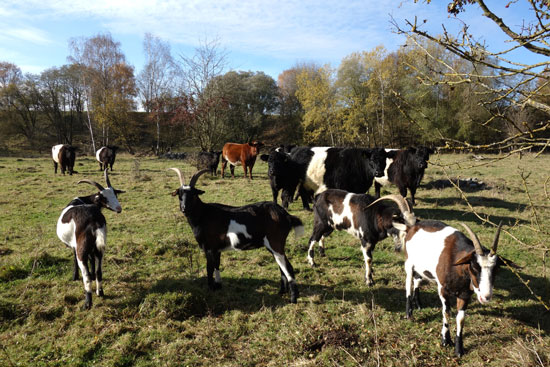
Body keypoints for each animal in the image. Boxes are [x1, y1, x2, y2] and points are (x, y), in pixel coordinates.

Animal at [56, 170, 125, 310]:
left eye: (115, 194)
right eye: (105, 197)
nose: (119, 208)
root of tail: (94, 220)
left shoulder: (75, 246)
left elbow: (75, 259)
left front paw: (74, 277)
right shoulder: (94, 247)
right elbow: (92, 261)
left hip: (82, 249)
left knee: (86, 275)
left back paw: (87, 303)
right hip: (100, 248)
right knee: (99, 271)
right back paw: (100, 292)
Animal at [169, 168, 304, 304]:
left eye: (193, 194)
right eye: (180, 195)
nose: (184, 208)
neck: (204, 214)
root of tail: (286, 215)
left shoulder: (209, 248)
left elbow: (209, 268)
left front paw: (210, 289)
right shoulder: (217, 249)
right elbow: (217, 265)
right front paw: (218, 285)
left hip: (275, 243)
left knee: (288, 267)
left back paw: (293, 298)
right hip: (273, 246)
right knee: (282, 267)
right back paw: (281, 292)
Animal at [394, 220, 506, 358]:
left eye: (496, 268)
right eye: (474, 266)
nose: (486, 297)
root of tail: (411, 227)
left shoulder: (465, 294)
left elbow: (461, 319)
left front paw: (458, 349)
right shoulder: (443, 290)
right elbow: (446, 312)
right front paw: (445, 340)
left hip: (421, 268)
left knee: (417, 279)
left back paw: (418, 304)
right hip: (409, 263)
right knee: (408, 283)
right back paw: (409, 313)